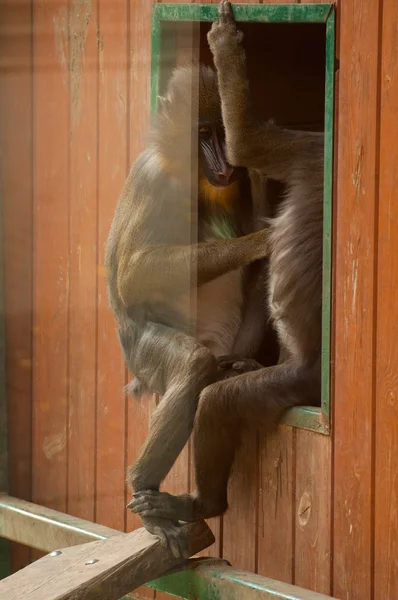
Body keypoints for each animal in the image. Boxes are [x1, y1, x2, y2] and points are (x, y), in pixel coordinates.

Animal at [104, 54, 276, 556]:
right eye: (202, 133)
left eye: (223, 131)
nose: (225, 164)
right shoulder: (155, 180)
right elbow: (134, 273)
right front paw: (258, 242)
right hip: (147, 358)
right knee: (193, 364)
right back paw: (145, 491)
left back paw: (238, 364)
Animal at [130, 0, 324, 552]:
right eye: (202, 136)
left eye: (216, 135)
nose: (220, 164)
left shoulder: (306, 150)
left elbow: (248, 140)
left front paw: (225, 43)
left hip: (292, 384)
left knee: (216, 399)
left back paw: (199, 503)